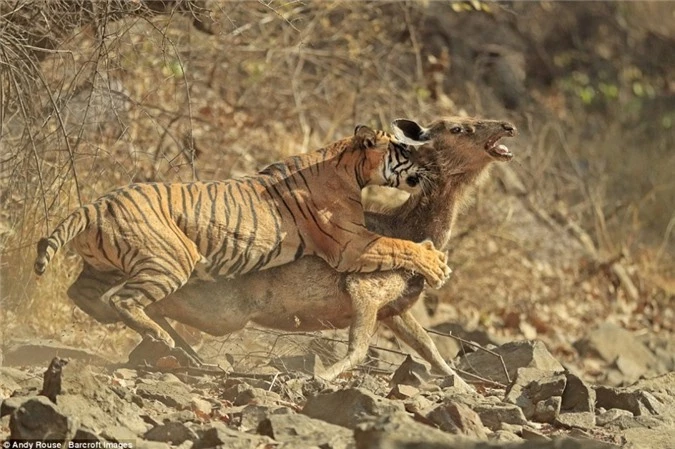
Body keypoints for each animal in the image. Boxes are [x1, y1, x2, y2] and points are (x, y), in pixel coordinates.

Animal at [34, 126, 452, 346]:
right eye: (405, 150)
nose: (435, 165)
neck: (350, 168)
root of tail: (96, 203)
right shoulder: (352, 244)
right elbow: (400, 246)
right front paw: (437, 265)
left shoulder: (356, 242)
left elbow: (398, 245)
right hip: (173, 259)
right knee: (124, 300)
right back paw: (159, 336)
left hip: (104, 266)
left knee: (82, 293)